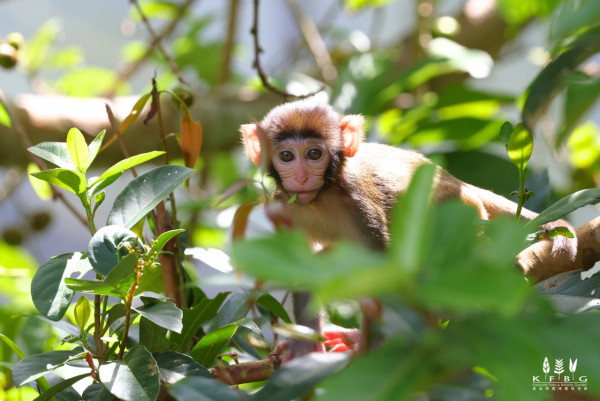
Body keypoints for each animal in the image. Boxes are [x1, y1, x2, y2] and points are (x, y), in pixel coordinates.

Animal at [239, 97, 576, 360]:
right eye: (286, 156)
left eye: (313, 154)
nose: (301, 177)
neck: (321, 197)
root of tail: (461, 184)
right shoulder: (284, 208)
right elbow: (302, 267)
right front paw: (304, 347)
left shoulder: (360, 205)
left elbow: (382, 274)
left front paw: (369, 348)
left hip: (464, 211)